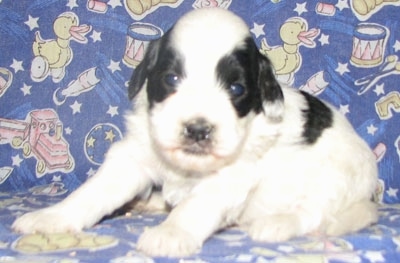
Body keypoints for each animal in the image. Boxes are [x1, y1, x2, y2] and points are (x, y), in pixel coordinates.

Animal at [12, 8, 376, 258]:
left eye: (237, 88)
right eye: (171, 79)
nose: (198, 129)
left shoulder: (231, 175)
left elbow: (195, 205)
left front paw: (171, 234)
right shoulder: (133, 157)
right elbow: (92, 193)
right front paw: (52, 218)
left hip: (333, 177)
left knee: (313, 213)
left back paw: (275, 224)